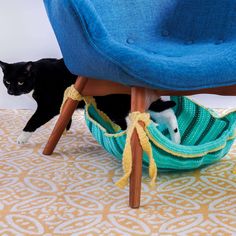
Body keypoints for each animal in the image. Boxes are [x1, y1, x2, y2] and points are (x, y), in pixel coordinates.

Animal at [0, 59, 180, 144]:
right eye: (7, 81)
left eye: (20, 82)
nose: (11, 91)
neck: (38, 76)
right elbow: (66, 114)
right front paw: (64, 128)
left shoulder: (49, 106)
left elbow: (33, 120)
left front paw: (22, 137)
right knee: (166, 111)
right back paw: (175, 139)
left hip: (111, 105)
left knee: (129, 123)